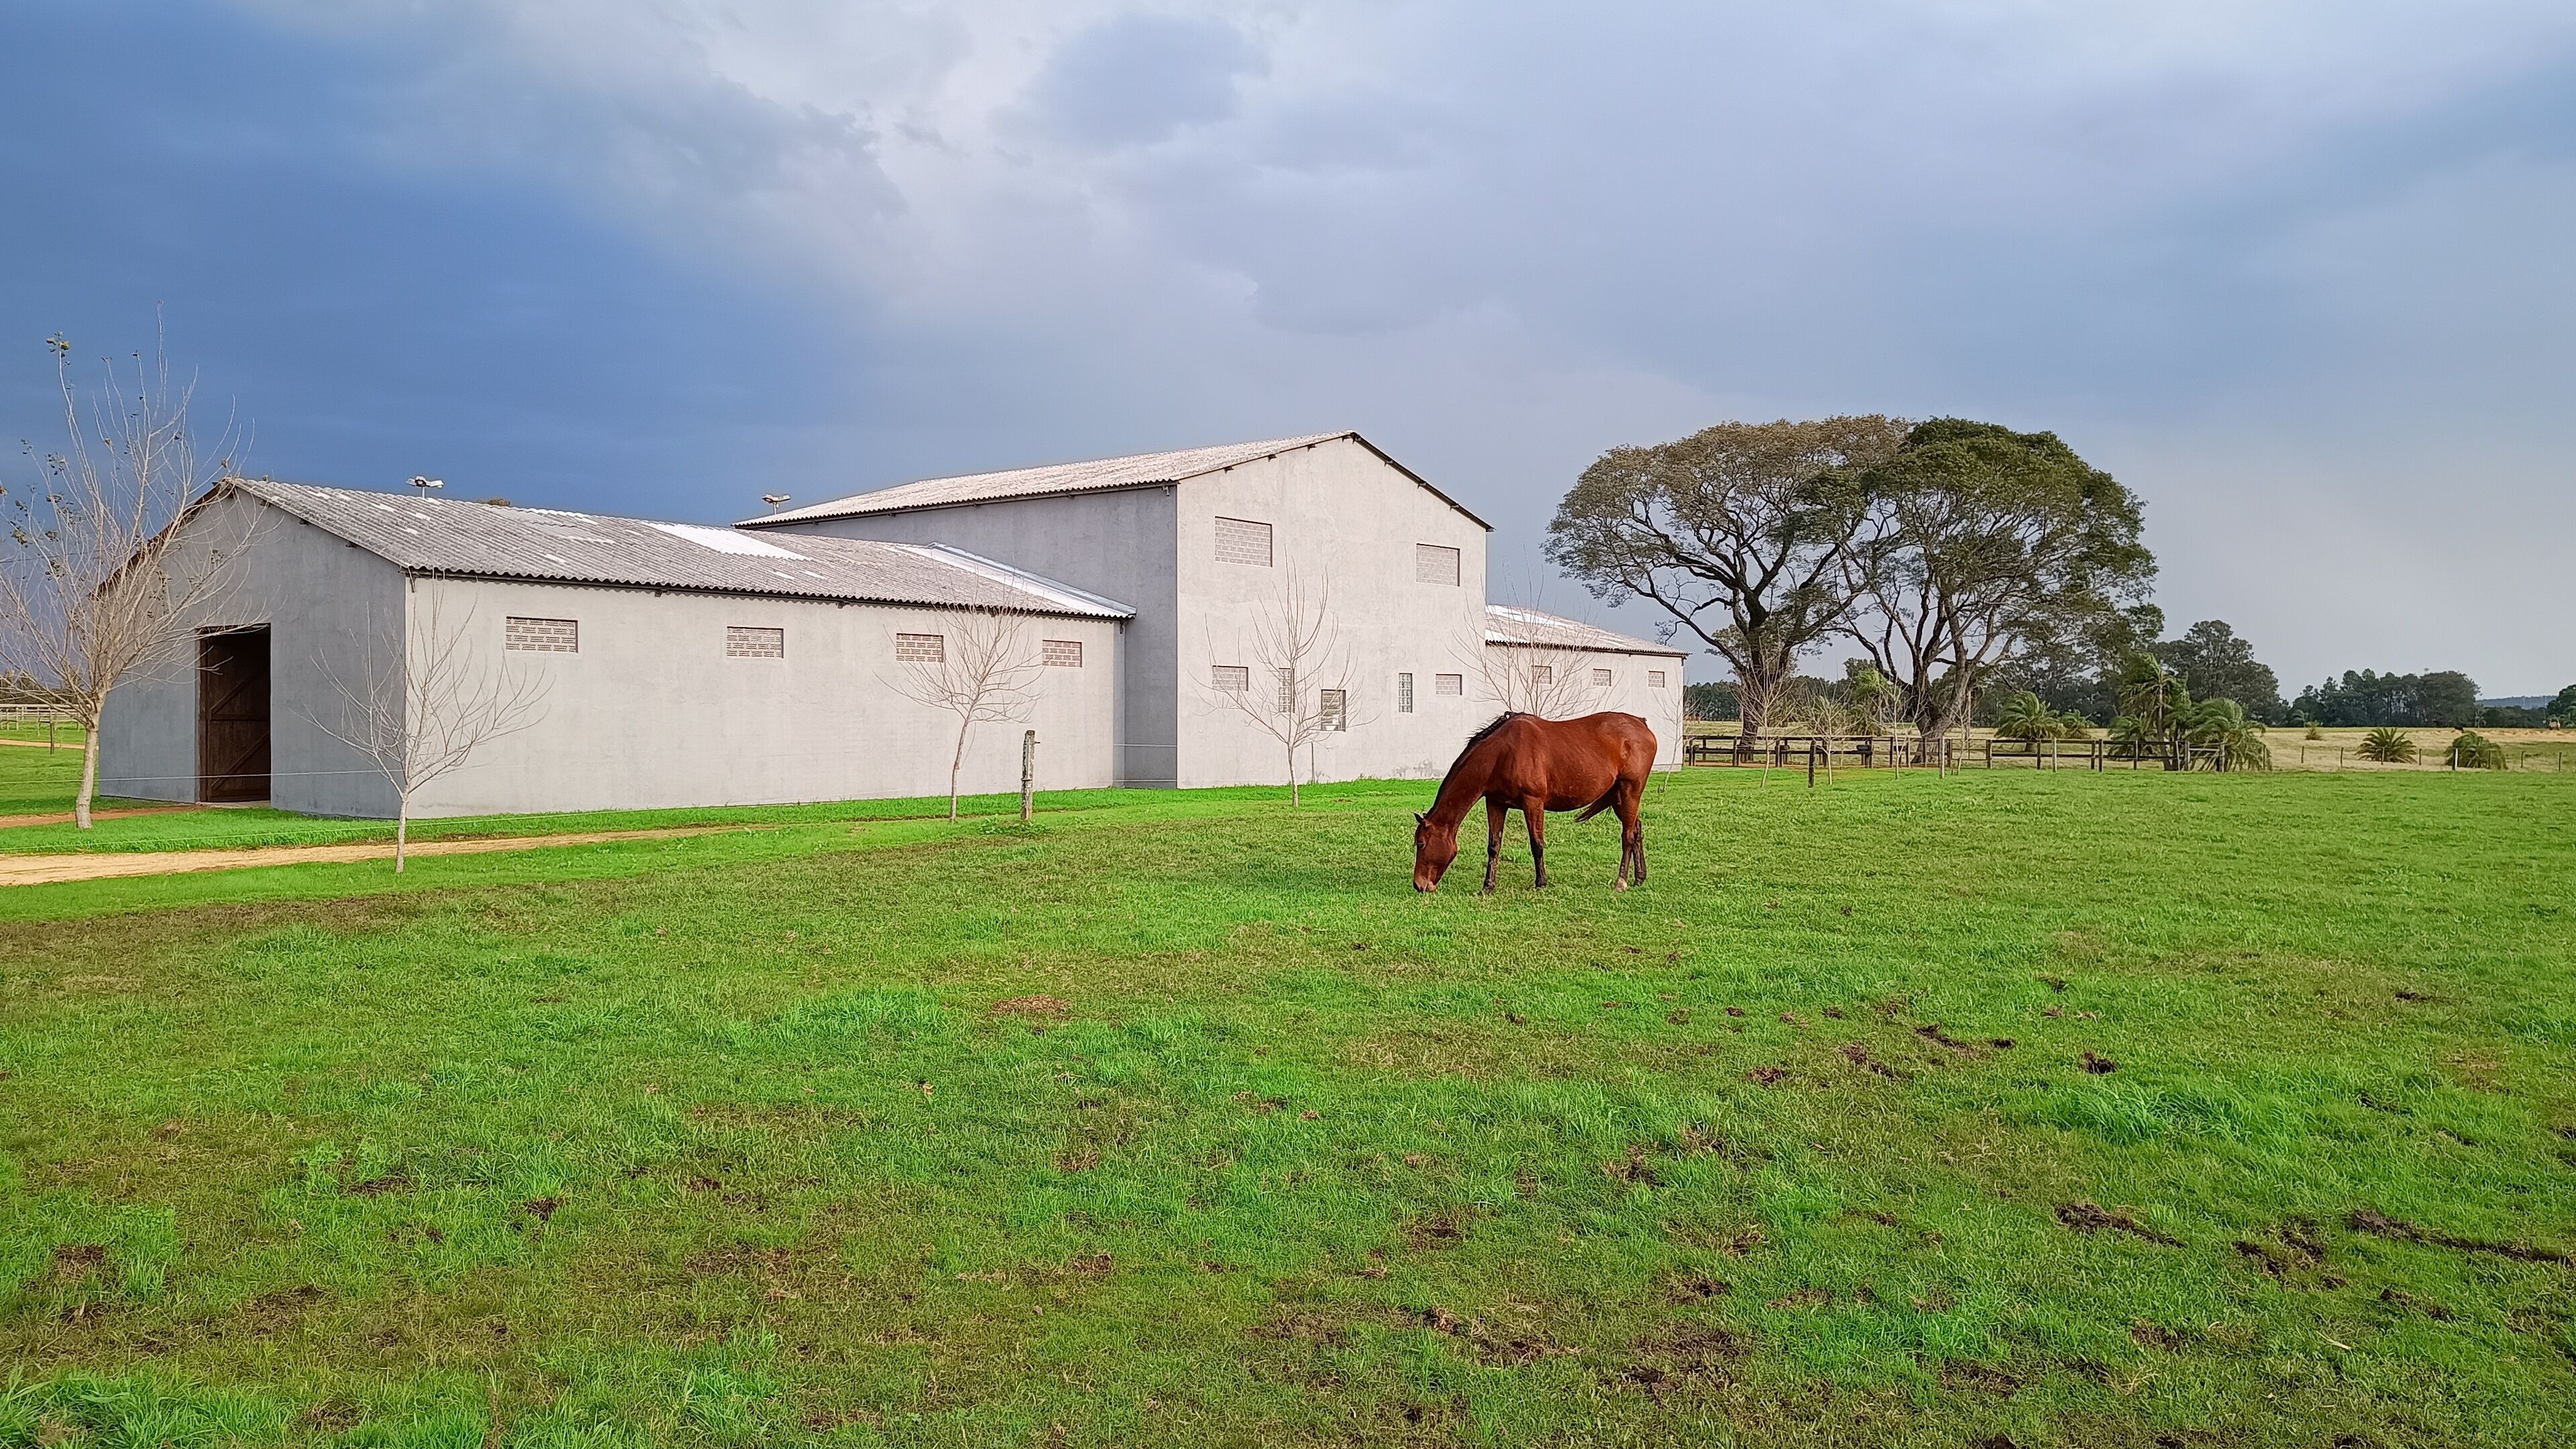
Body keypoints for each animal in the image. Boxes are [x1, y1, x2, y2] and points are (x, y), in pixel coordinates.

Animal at [1413, 712, 1658, 893]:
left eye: (1421, 844)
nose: (1419, 885)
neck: (1502, 753)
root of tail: (1642, 724)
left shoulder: (1533, 803)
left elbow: (1536, 844)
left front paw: (1541, 882)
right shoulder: (1495, 803)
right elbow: (1494, 846)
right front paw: (1488, 886)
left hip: (1630, 791)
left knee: (1628, 836)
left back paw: (1621, 882)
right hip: (1619, 796)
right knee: (1637, 829)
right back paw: (1640, 878)